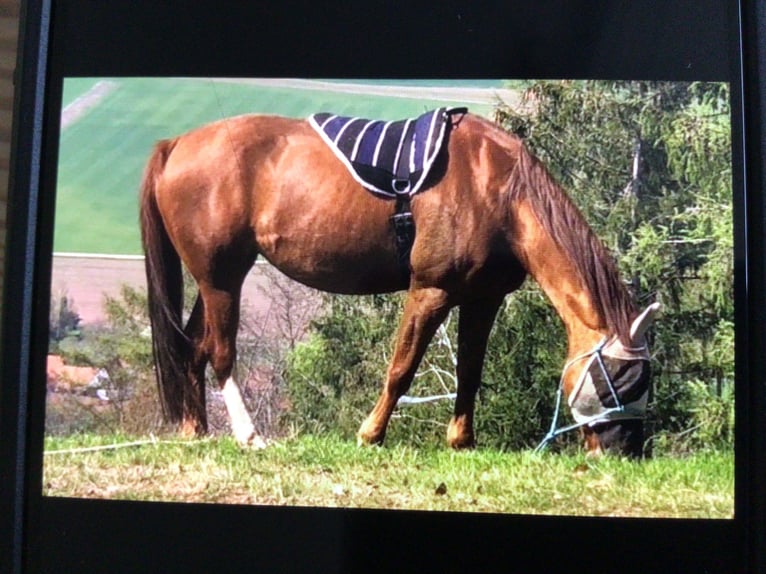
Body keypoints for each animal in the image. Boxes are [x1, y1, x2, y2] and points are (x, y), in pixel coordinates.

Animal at [139, 108, 659, 458]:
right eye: (621, 379)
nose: (624, 452)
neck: (500, 190)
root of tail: (175, 144)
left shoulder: (483, 299)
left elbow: (470, 371)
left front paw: (461, 441)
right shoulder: (431, 290)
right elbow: (401, 368)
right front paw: (370, 434)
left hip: (215, 279)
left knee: (192, 347)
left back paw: (195, 432)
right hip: (222, 278)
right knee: (220, 352)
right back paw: (249, 436)